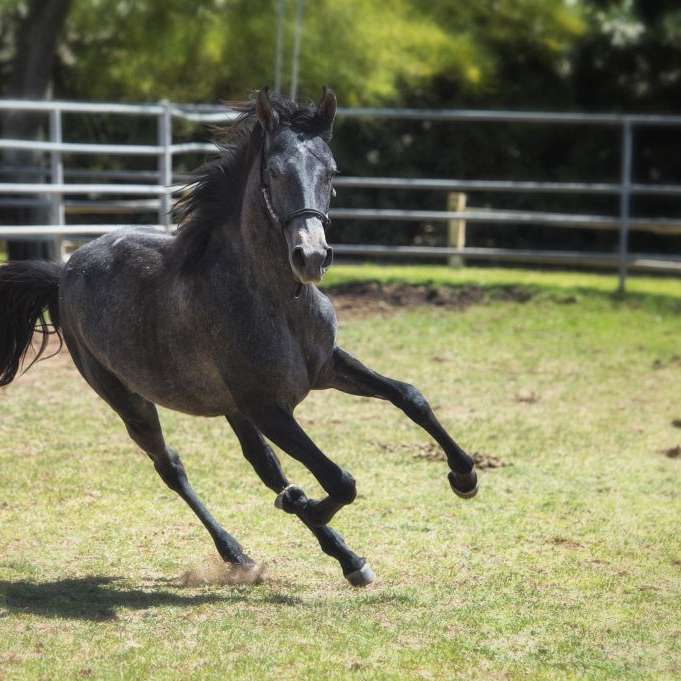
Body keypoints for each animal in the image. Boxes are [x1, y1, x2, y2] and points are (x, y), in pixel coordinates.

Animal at [0, 87, 476, 588]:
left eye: (331, 171)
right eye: (275, 172)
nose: (311, 256)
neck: (276, 301)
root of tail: (63, 273)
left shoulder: (326, 367)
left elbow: (409, 396)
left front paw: (464, 477)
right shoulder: (268, 407)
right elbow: (339, 479)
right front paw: (307, 505)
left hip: (231, 407)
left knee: (263, 465)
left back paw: (344, 555)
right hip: (128, 399)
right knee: (172, 467)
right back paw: (241, 551)